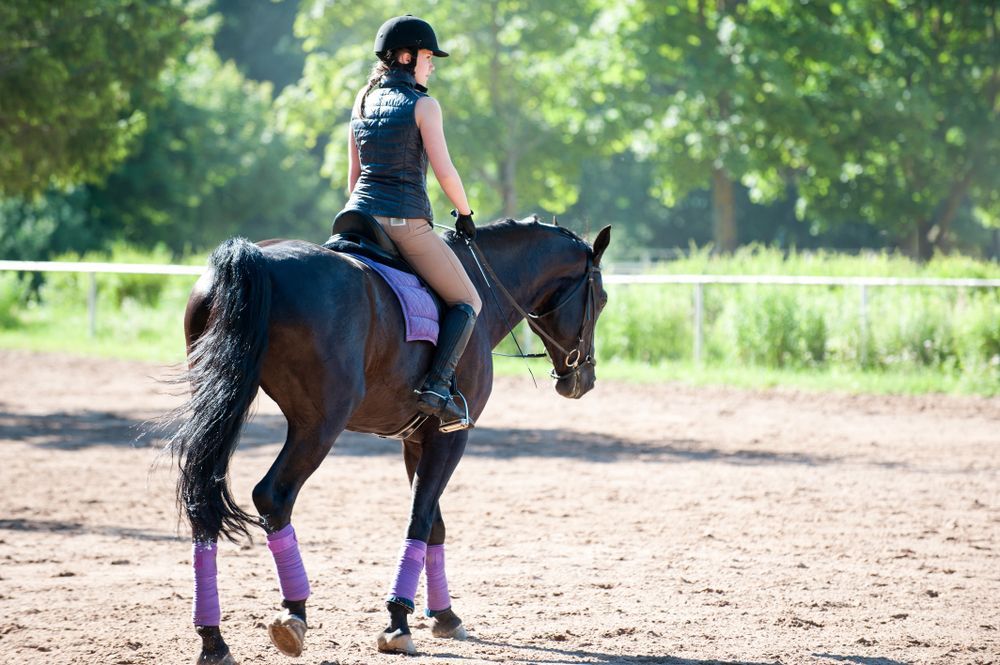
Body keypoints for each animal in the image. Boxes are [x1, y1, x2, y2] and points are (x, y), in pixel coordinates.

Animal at [167, 217, 611, 663]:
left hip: (223, 404)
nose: (583, 380)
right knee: (273, 495)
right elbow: (421, 519)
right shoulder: (450, 438)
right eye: (603, 299)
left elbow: (435, 525)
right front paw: (398, 621)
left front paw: (444, 616)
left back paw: (212, 638)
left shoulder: (415, 441)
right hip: (319, 423)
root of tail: (258, 257)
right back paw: (294, 614)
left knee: (202, 501)